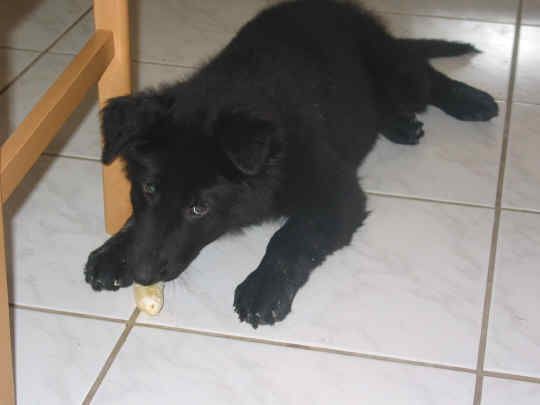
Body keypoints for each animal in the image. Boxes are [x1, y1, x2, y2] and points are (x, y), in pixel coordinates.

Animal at [84, 0, 498, 328]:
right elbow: (138, 221)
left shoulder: (336, 192)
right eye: (148, 188)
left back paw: (471, 100)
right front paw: (114, 250)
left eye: (199, 208)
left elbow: (289, 237)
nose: (142, 273)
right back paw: (401, 124)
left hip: (396, 74)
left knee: (425, 75)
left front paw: (263, 288)